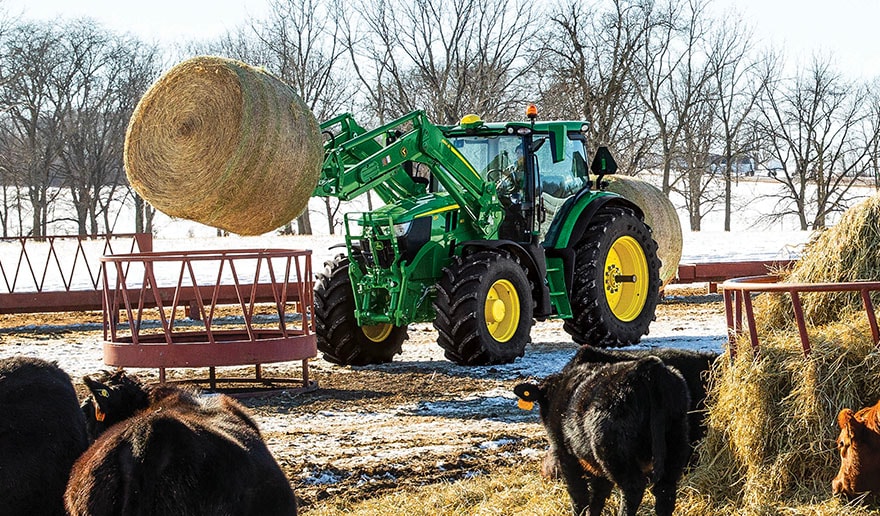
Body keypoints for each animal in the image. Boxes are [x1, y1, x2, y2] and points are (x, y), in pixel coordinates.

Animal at [516, 354, 696, 516]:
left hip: (614, 452)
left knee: (633, 489)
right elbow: (598, 495)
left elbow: (578, 496)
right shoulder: (596, 466)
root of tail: (647, 366)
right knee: (665, 491)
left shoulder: (566, 455)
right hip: (676, 441)